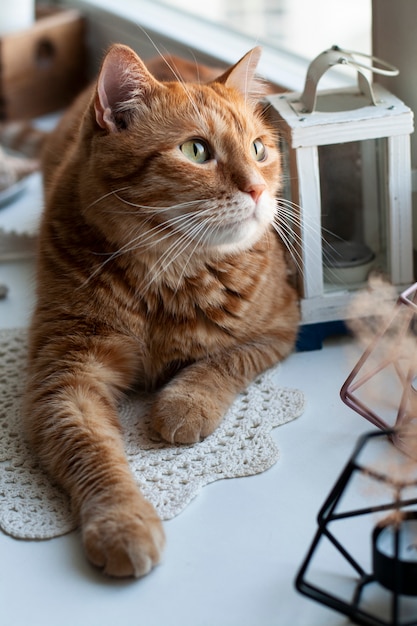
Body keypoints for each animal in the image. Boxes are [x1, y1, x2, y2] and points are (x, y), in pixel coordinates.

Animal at [24, 45, 300, 576]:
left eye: (259, 149)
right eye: (196, 151)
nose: (258, 189)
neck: (169, 280)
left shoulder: (281, 327)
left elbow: (224, 360)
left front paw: (183, 402)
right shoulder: (66, 380)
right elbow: (92, 452)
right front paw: (122, 522)